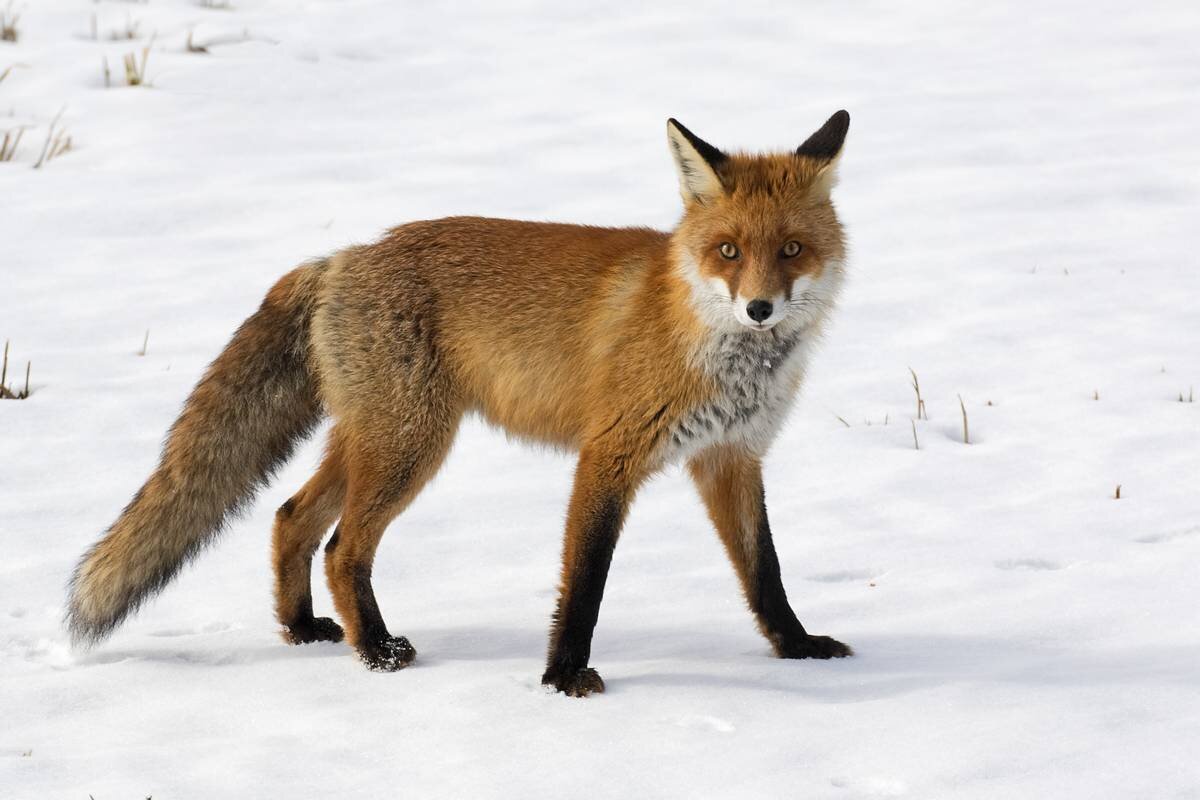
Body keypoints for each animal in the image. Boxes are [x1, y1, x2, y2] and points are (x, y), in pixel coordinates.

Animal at [68, 110, 854, 695]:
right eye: (728, 250)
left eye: (791, 249)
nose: (758, 309)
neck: (712, 344)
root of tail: (341, 257)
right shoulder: (609, 455)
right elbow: (585, 583)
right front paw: (562, 677)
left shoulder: (730, 457)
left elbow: (765, 572)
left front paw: (796, 648)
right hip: (411, 446)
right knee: (342, 548)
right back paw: (376, 651)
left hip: (373, 440)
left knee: (291, 518)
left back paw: (301, 630)